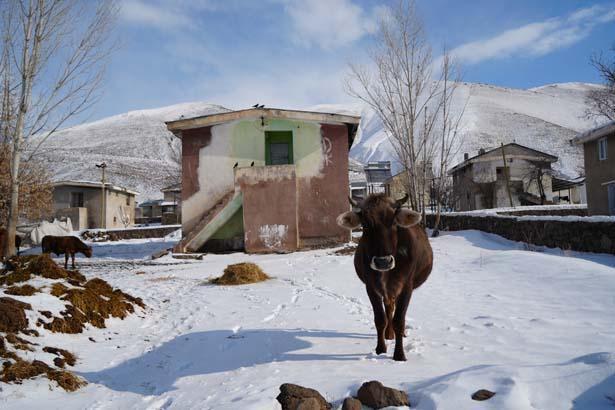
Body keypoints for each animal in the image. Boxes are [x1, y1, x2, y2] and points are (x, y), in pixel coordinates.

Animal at [336, 194, 434, 360]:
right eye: (365, 224)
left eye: (394, 222)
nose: (383, 262)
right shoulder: (371, 287)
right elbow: (380, 319)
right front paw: (380, 349)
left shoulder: (406, 286)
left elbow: (399, 320)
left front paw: (399, 355)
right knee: (389, 308)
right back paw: (389, 334)